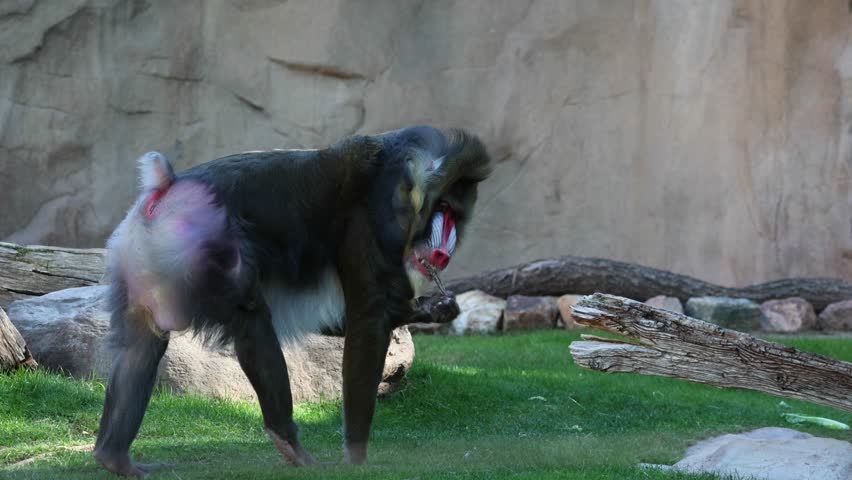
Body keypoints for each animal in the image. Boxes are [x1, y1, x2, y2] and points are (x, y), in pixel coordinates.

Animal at [92, 125, 492, 476]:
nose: (445, 251)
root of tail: (167, 187)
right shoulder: (373, 227)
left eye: (457, 214)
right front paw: (356, 459)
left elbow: (343, 322)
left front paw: (438, 308)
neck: (402, 178)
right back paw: (291, 445)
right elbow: (365, 321)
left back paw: (115, 458)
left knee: (140, 349)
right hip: (209, 255)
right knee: (252, 323)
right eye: (444, 208)